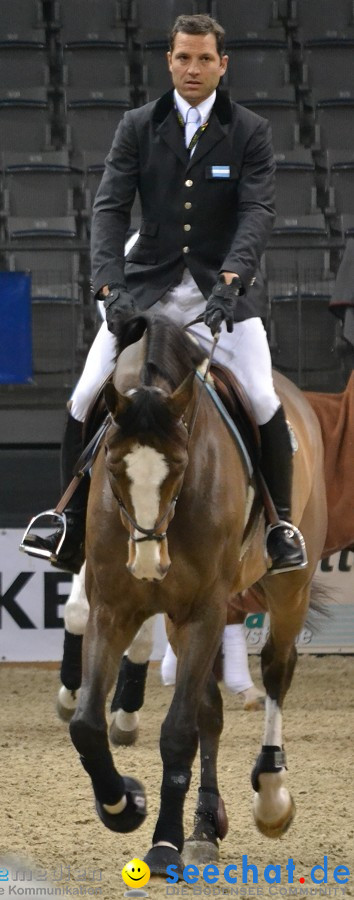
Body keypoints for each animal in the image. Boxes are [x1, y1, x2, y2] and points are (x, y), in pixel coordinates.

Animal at [68, 312, 326, 876]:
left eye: (182, 466)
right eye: (112, 467)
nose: (148, 563)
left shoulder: (203, 610)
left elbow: (178, 731)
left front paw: (163, 843)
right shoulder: (113, 609)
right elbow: (86, 726)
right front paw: (124, 804)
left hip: (287, 586)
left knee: (277, 670)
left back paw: (270, 796)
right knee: (211, 707)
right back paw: (206, 825)